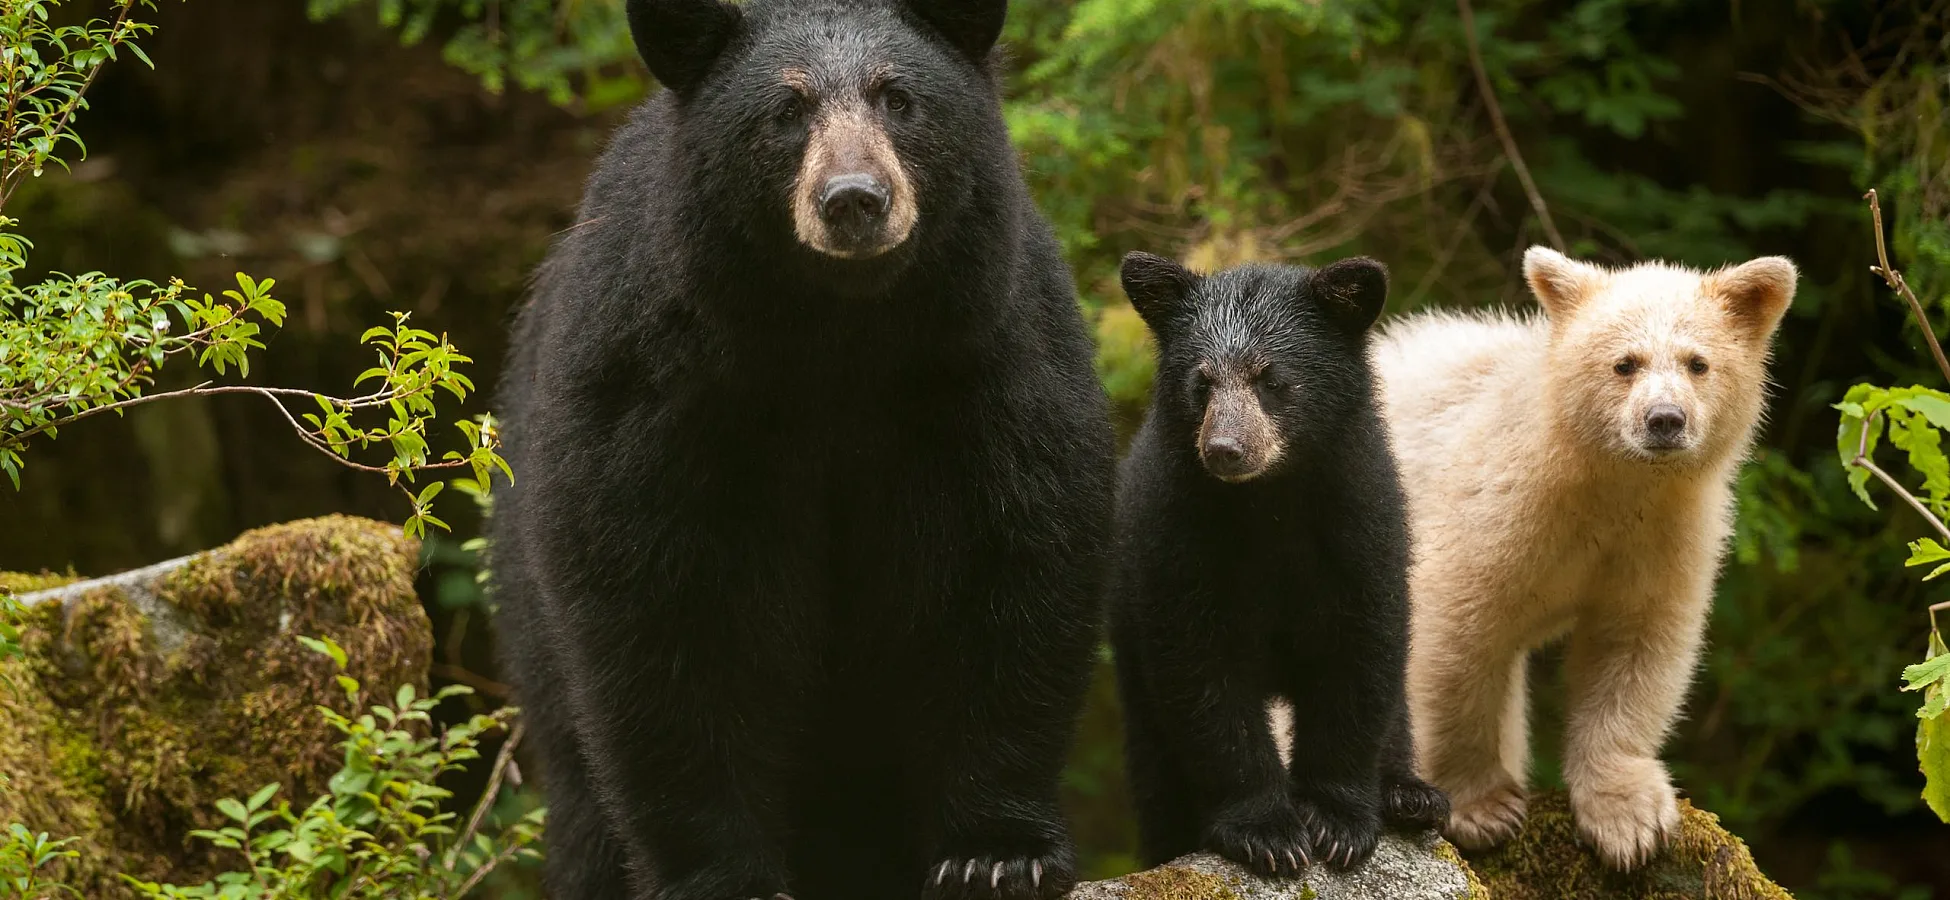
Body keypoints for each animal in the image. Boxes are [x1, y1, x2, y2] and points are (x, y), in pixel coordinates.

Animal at [484, 1, 1116, 899]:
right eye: (785, 111)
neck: (838, 339)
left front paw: (996, 854)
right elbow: (664, 610)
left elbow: (1013, 569)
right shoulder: (656, 388)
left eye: (898, 98)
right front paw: (720, 875)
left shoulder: (989, 360)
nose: (854, 200)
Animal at [1107, 252, 1449, 878]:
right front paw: (1266, 832)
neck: (1269, 504)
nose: (1224, 449)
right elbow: (1203, 677)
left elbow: (1359, 662)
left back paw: (1410, 795)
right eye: (1202, 382)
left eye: (1271, 379)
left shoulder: (1363, 528)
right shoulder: (1178, 539)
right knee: (1155, 764)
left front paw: (1338, 821)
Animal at [1373, 247, 1797, 870]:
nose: (1665, 419)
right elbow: (1457, 634)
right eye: (1625, 363)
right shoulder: (1496, 509)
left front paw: (1630, 821)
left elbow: (1635, 646)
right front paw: (1481, 808)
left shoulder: (1662, 536)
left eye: (1698, 363)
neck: (1603, 482)